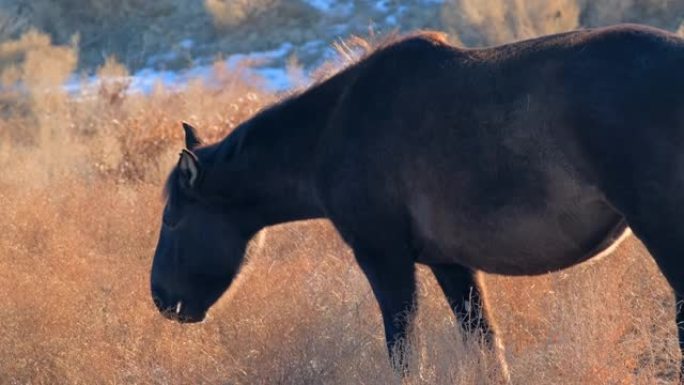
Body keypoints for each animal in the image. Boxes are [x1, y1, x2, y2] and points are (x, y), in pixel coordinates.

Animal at [150, 24, 684, 376]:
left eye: (173, 218)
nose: (161, 298)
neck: (332, 129)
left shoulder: (385, 259)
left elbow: (405, 355)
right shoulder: (452, 264)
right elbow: (485, 347)